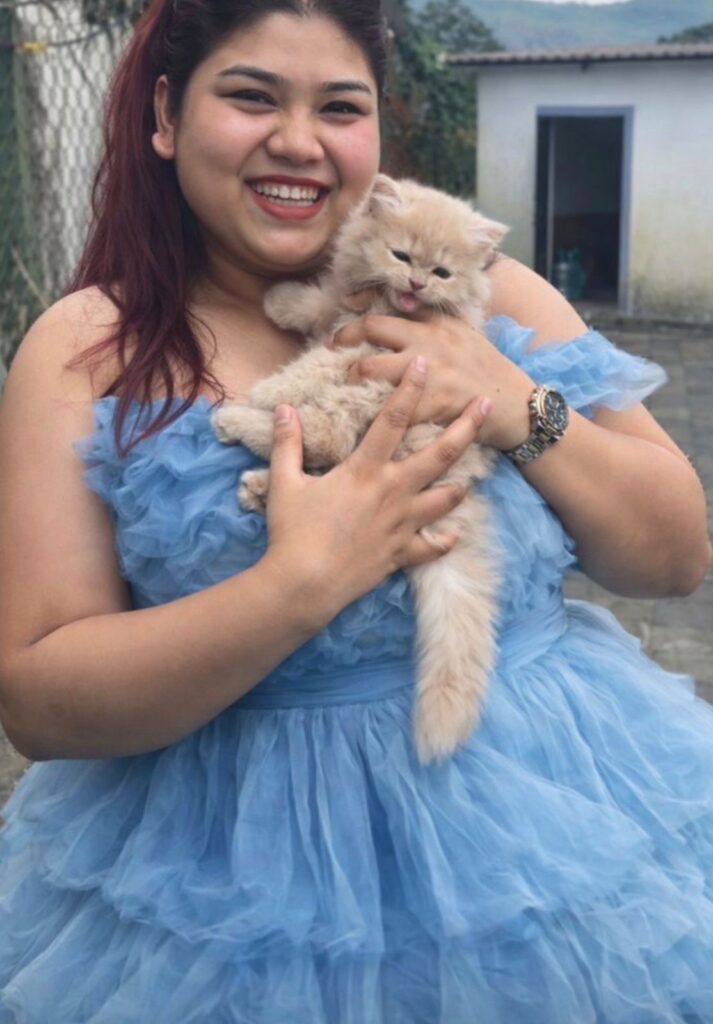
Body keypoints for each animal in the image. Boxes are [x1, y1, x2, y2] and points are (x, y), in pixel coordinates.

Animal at [211, 173, 508, 764]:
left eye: (442, 273)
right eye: (402, 255)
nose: (415, 284)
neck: (390, 306)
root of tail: (457, 483)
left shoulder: (366, 352)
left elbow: (312, 365)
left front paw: (270, 388)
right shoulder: (347, 314)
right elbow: (319, 303)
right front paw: (281, 300)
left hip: (371, 406)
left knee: (322, 436)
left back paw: (240, 421)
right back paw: (261, 486)